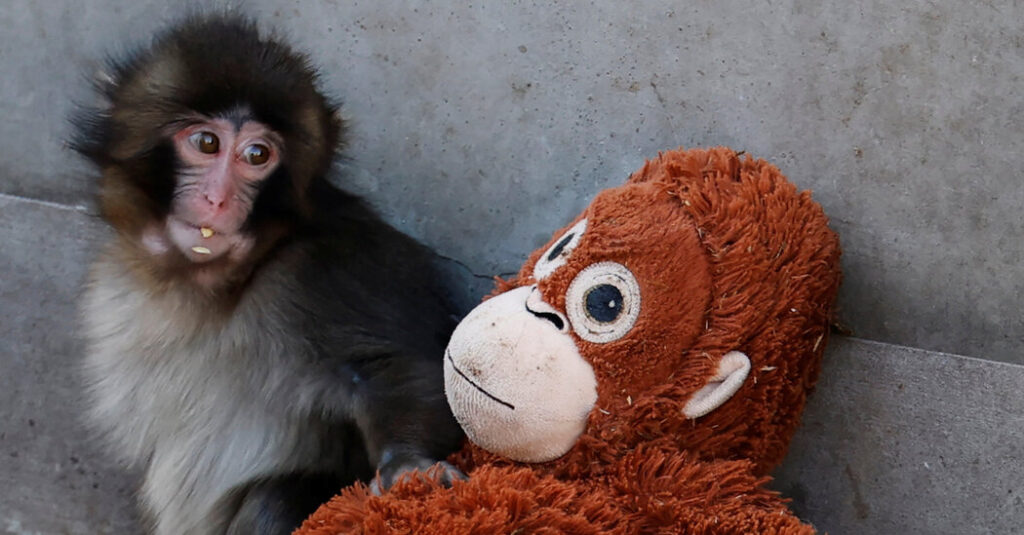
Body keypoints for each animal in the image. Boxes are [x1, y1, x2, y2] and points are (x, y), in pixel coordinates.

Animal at [72, 15, 464, 535]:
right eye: (207, 143)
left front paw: (408, 465)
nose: (218, 199)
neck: (217, 282)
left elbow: (393, 368)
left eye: (258, 155)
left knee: (273, 500)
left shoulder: (329, 269)